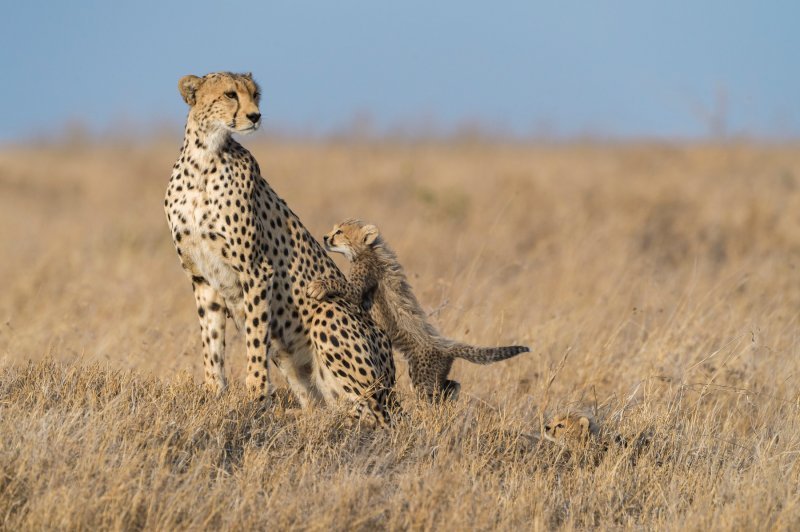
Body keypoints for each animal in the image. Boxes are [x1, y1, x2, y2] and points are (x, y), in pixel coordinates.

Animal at [165, 72, 396, 426]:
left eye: (255, 94)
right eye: (230, 94)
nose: (255, 116)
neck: (204, 159)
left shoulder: (256, 270)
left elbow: (255, 340)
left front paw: (256, 398)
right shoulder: (201, 276)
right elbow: (211, 342)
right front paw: (213, 394)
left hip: (330, 314)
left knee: (371, 415)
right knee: (328, 405)